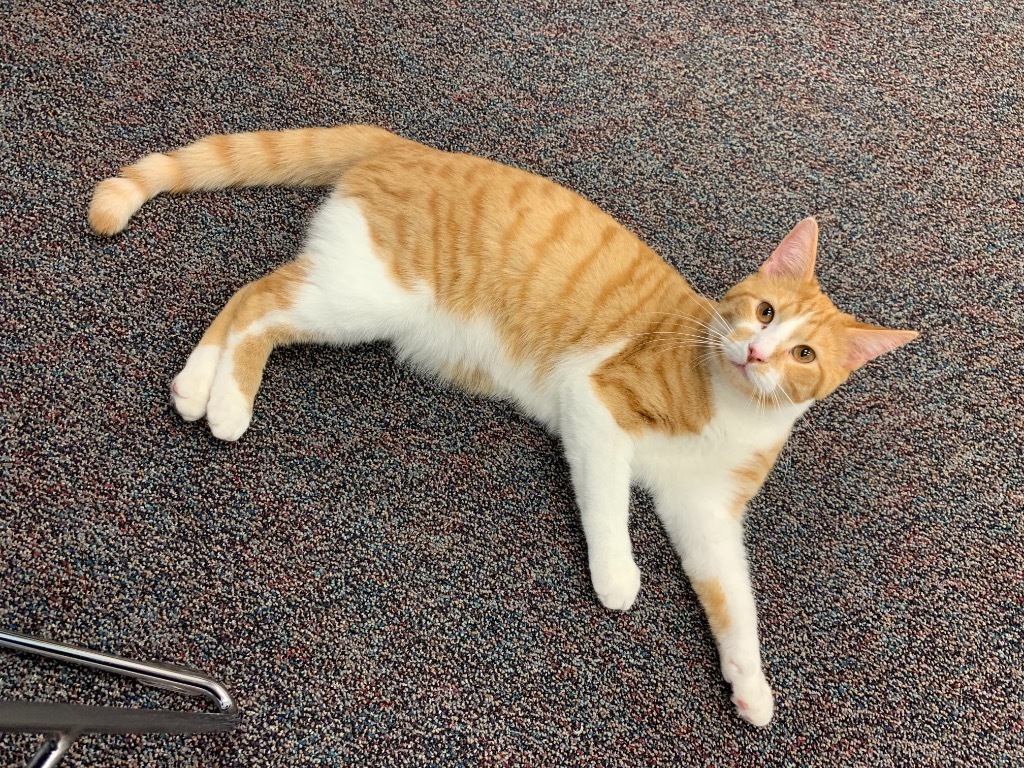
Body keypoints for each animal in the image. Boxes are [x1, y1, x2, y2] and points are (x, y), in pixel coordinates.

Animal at [88, 126, 921, 729]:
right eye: (765, 311)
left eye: (804, 354)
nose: (756, 350)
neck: (732, 403)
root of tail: (408, 145)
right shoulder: (595, 404)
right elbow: (609, 503)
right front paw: (618, 577)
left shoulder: (706, 516)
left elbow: (734, 604)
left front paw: (751, 686)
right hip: (368, 295)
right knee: (258, 304)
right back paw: (227, 400)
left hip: (348, 292)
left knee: (251, 293)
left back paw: (197, 385)